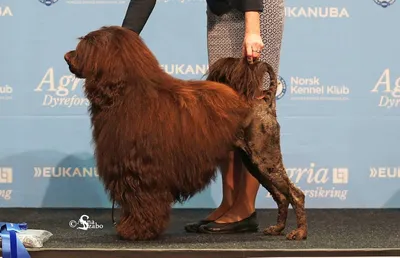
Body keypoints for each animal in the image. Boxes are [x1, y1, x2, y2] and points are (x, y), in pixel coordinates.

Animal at [64, 25, 308, 241]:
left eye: (89, 45)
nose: (67, 56)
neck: (126, 93)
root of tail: (264, 100)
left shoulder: (141, 169)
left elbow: (140, 200)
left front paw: (138, 231)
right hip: (253, 161)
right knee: (281, 196)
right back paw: (277, 229)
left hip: (265, 157)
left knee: (296, 194)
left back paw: (299, 233)